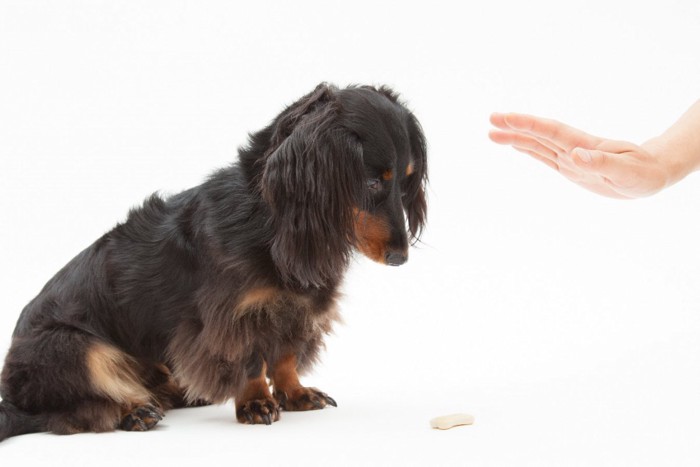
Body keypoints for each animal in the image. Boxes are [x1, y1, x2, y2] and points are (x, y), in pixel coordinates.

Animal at [0, 82, 426, 440]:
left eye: (406, 179)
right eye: (372, 182)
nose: (400, 258)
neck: (273, 222)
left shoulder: (295, 308)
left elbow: (285, 355)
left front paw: (295, 393)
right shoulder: (233, 316)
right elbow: (251, 359)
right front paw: (256, 402)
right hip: (71, 346)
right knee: (71, 408)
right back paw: (133, 410)